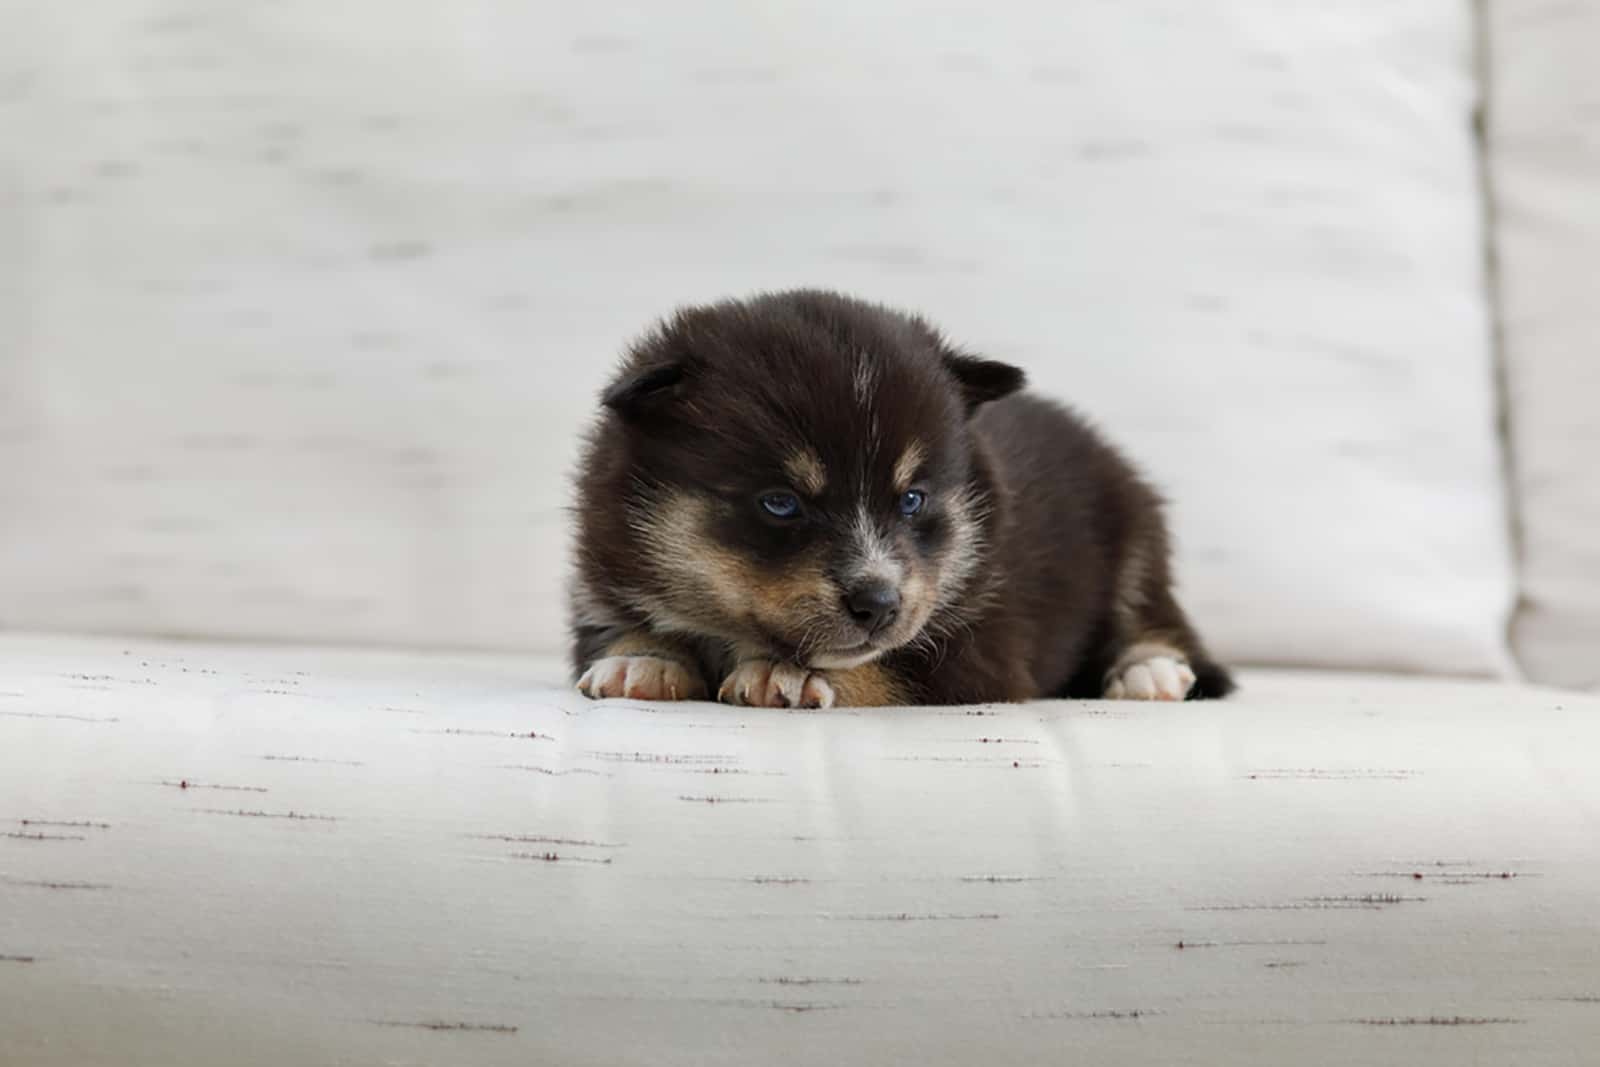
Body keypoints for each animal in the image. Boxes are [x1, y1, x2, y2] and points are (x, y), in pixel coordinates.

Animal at [569, 292, 1228, 710]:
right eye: (781, 504)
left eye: (913, 499)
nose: (879, 604)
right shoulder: (599, 582)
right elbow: (622, 629)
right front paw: (642, 661)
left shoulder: (981, 643)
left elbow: (887, 666)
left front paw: (783, 674)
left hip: (1135, 533)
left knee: (1152, 616)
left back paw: (1149, 671)